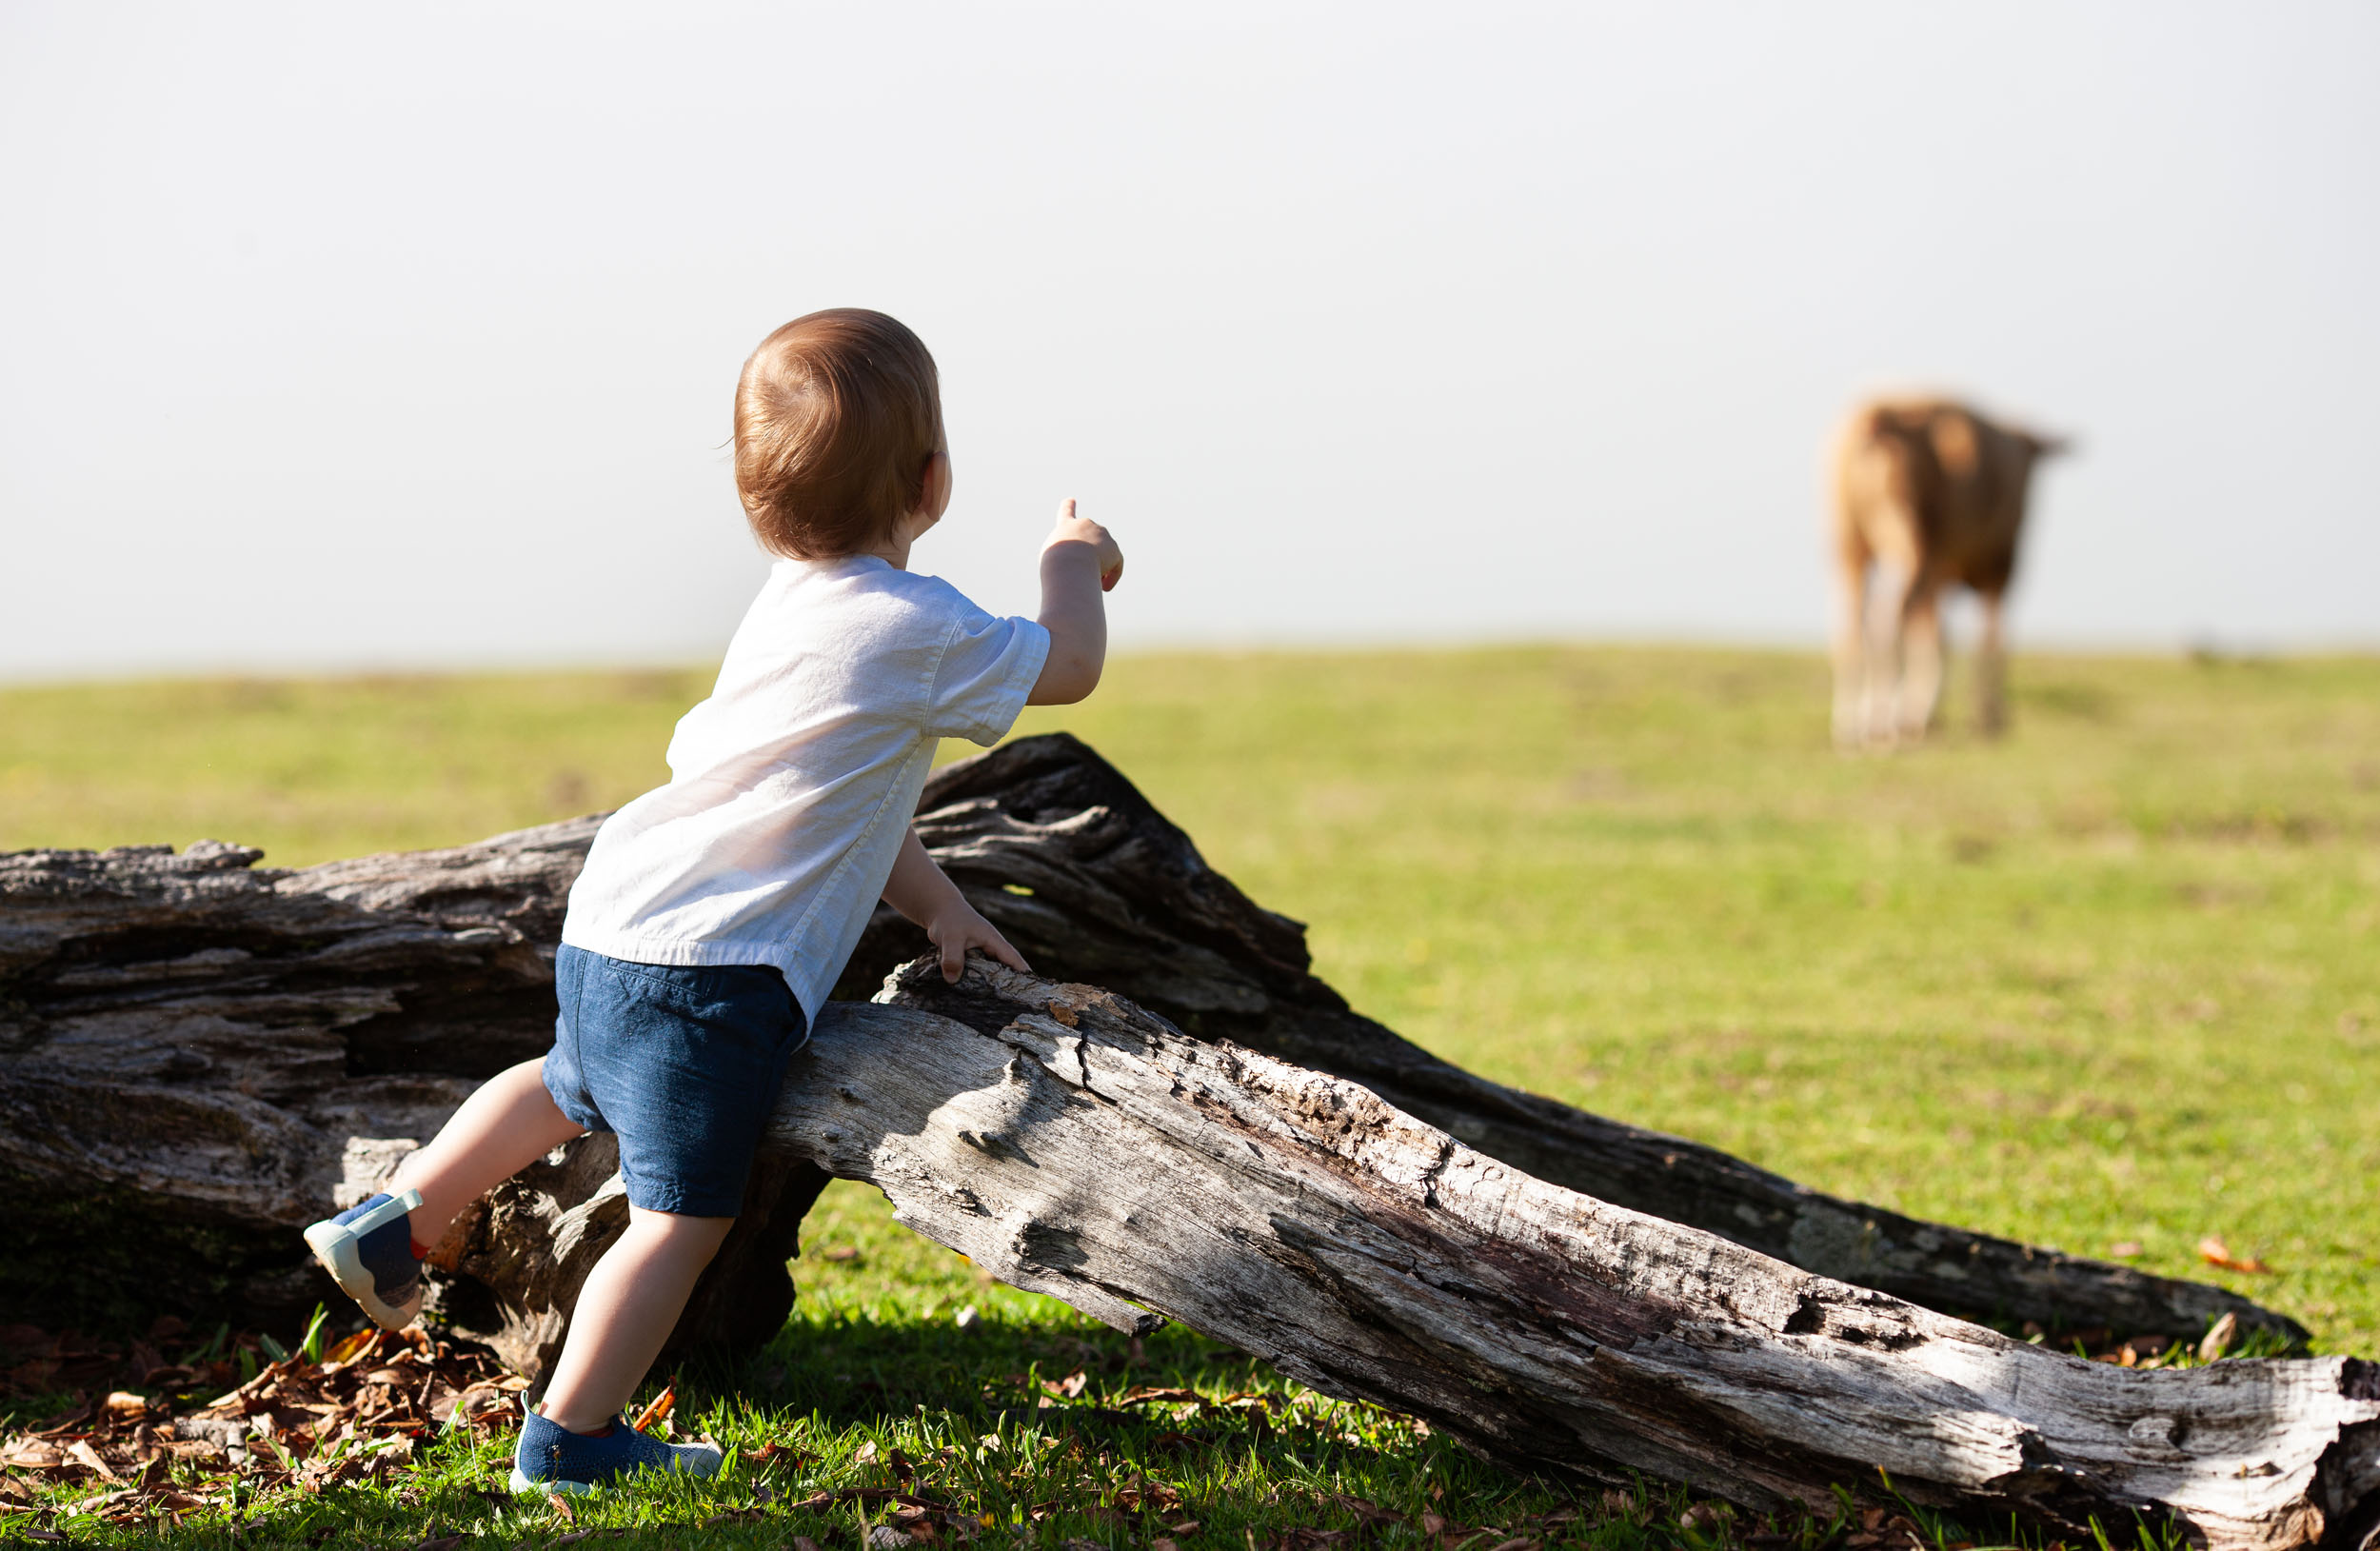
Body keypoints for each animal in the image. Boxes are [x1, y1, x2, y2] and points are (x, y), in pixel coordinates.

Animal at [1828, 396, 2068, 747]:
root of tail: (1880, 417)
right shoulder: (2000, 568)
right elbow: (1990, 640)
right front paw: (1988, 717)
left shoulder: (1943, 574)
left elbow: (1940, 636)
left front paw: (1925, 717)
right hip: (1913, 539)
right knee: (1886, 618)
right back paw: (1880, 726)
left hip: (1851, 541)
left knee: (1854, 623)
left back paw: (1850, 726)